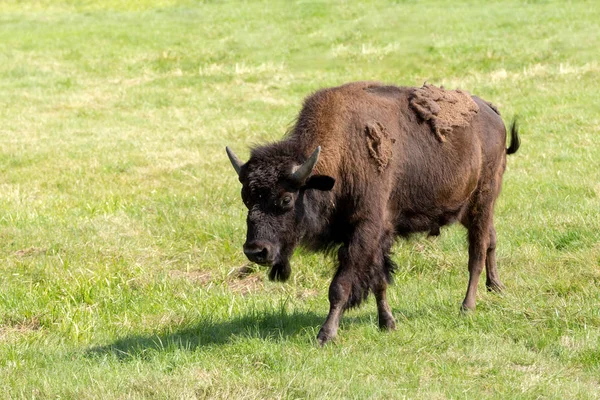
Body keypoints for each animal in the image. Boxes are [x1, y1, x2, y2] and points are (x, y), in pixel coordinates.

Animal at [227, 80, 516, 344]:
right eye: (246, 198)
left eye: (287, 199)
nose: (256, 251)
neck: (341, 155)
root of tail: (492, 113)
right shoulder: (377, 236)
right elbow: (379, 280)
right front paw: (387, 323)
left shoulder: (366, 230)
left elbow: (340, 285)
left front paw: (326, 335)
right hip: (469, 209)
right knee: (491, 239)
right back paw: (496, 287)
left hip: (483, 201)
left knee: (476, 252)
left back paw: (467, 307)